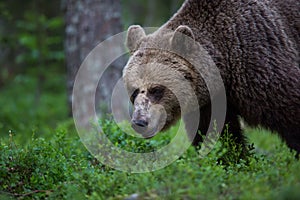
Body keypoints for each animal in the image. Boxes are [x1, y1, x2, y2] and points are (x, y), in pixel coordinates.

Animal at [122, 0, 300, 155]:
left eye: (156, 89)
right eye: (134, 91)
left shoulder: (262, 65)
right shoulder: (209, 104)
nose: (139, 123)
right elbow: (221, 136)